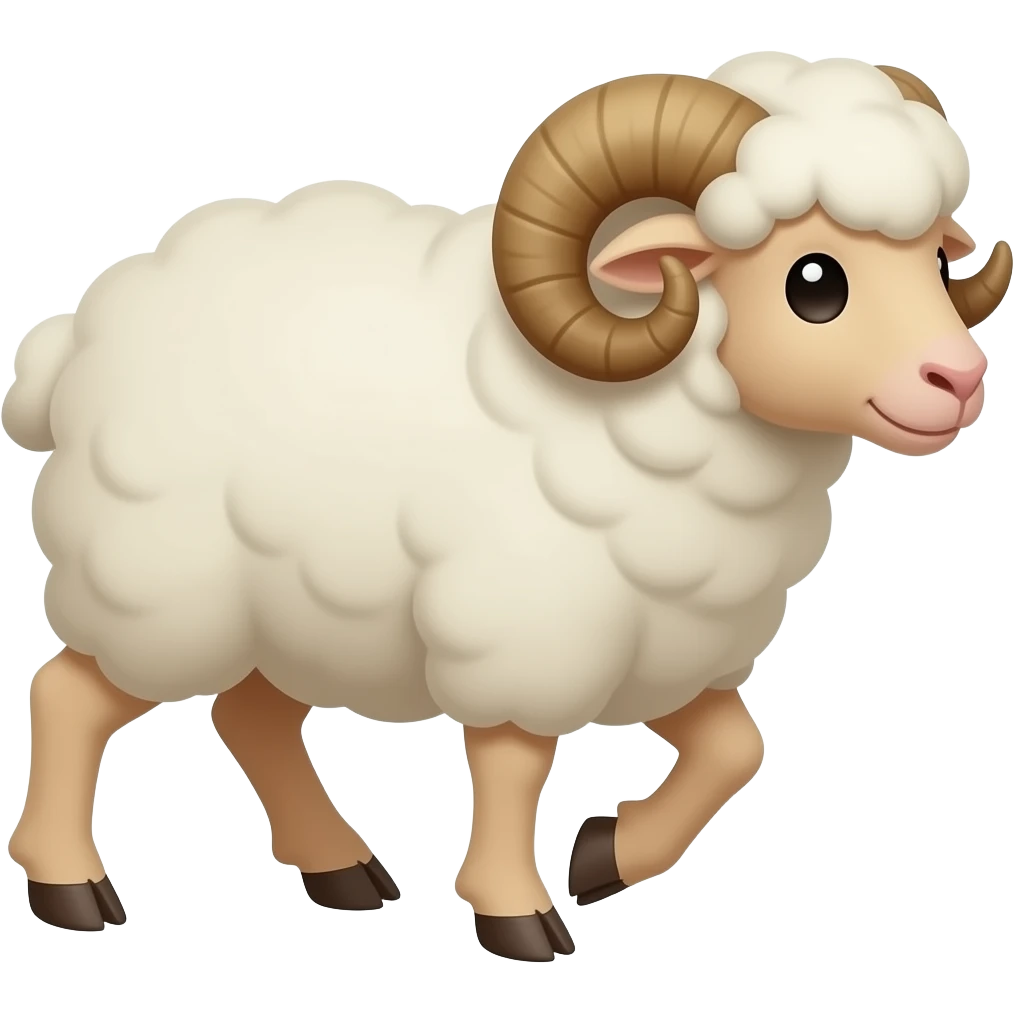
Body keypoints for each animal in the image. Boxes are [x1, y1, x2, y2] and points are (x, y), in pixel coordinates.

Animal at [4, 52, 1009, 963]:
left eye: (935, 259)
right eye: (814, 282)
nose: (960, 381)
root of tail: (77, 335)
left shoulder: (666, 642)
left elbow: (736, 751)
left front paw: (606, 855)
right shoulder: (526, 632)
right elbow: (515, 768)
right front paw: (517, 913)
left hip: (287, 610)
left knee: (250, 719)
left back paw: (339, 868)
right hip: (154, 586)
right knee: (67, 696)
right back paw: (69, 887)